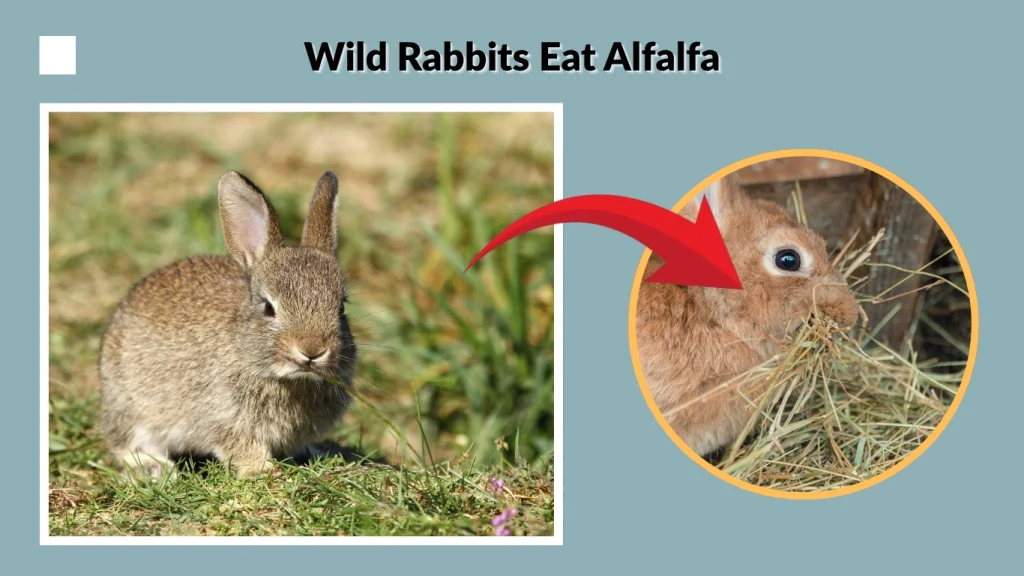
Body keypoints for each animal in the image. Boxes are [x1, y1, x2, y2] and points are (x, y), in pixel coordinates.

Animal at [98, 170, 357, 478]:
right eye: (268, 308)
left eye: (341, 307)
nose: (312, 351)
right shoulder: (225, 419)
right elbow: (241, 445)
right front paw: (262, 470)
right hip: (130, 405)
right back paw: (154, 468)